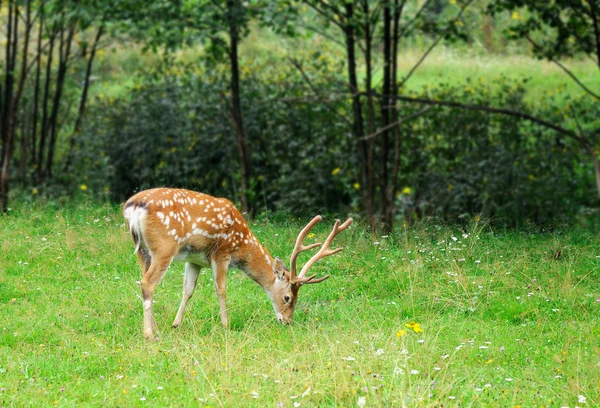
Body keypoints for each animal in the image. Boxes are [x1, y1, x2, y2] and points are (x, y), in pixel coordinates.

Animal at [124, 187, 354, 338]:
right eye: (287, 297)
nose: (287, 321)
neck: (242, 244)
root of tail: (133, 207)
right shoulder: (222, 252)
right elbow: (221, 289)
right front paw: (226, 325)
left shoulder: (195, 259)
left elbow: (188, 290)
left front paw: (176, 324)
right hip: (165, 246)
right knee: (147, 283)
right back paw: (148, 334)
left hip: (143, 250)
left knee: (144, 282)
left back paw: (155, 329)